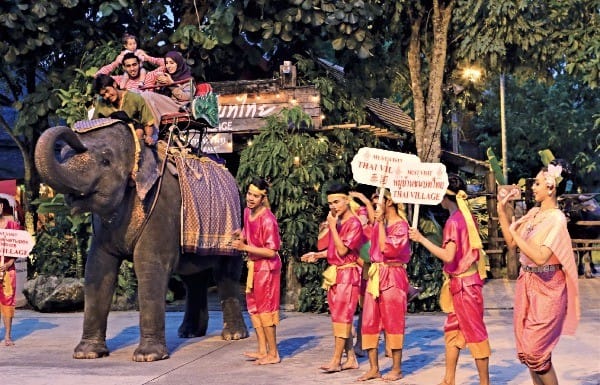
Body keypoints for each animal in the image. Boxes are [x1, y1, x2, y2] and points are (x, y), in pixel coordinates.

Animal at [33, 119, 248, 360]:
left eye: (106, 161)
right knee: (192, 277)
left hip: (236, 222)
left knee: (225, 274)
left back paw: (233, 335)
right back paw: (189, 333)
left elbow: (148, 265)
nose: (72, 131)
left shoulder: (159, 209)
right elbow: (97, 268)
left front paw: (148, 357)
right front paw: (86, 354)